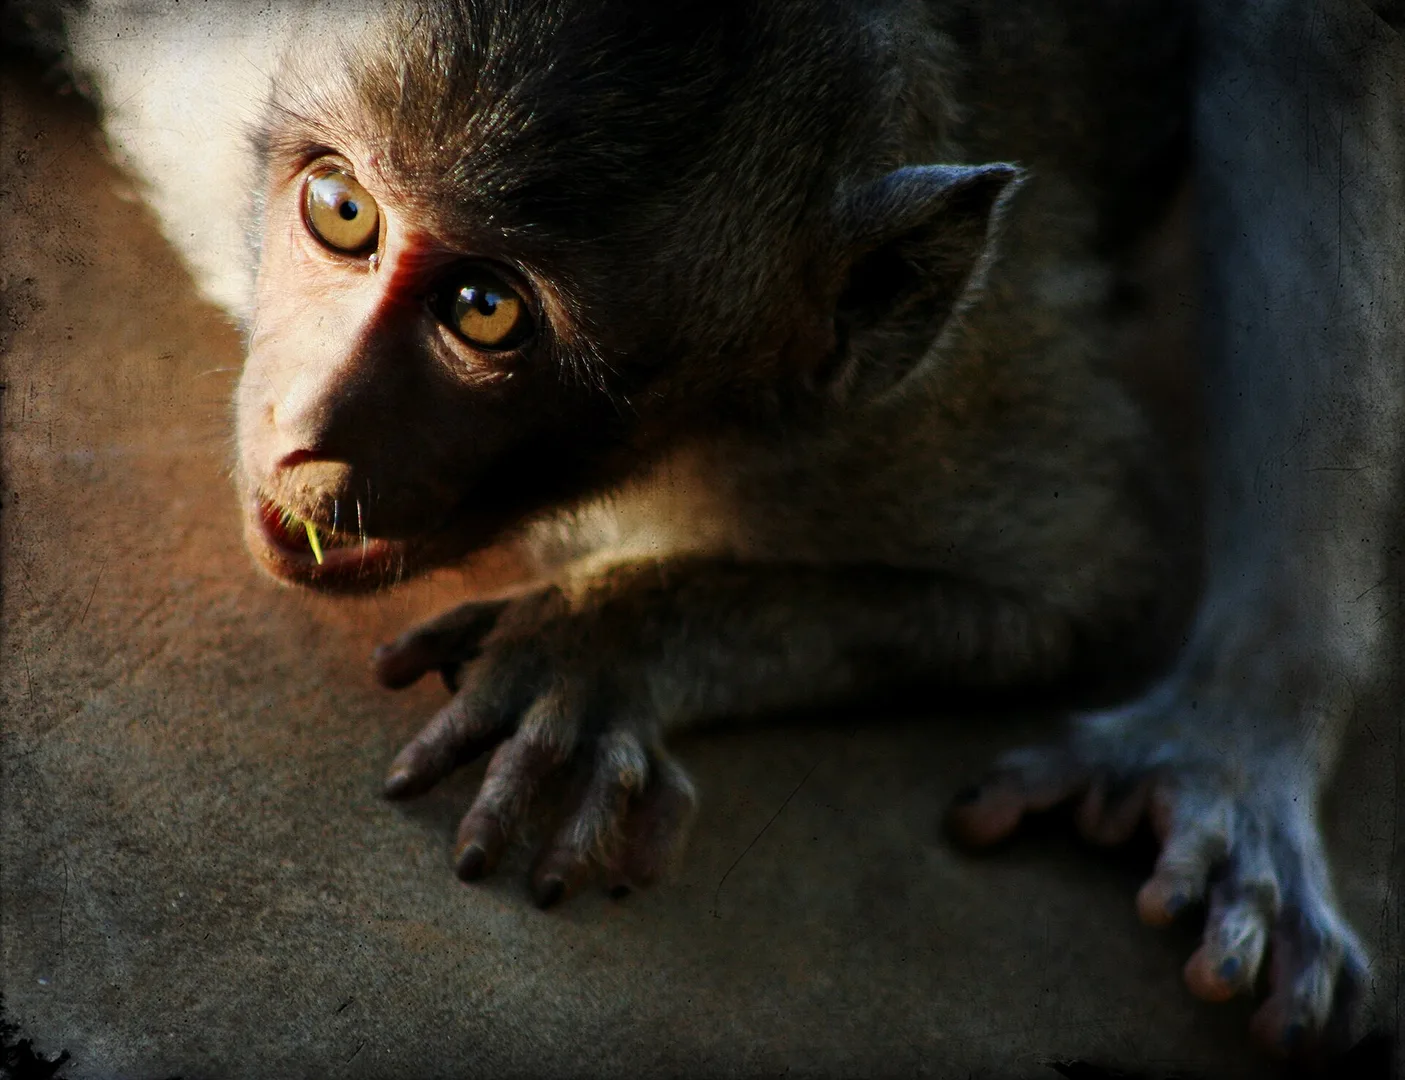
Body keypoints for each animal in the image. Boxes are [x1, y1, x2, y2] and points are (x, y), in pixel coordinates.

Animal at [46, 0, 1399, 1063]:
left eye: (486, 311)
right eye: (340, 210)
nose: (306, 426)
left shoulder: (892, 412)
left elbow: (1076, 591)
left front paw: (601, 645)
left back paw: (1241, 738)